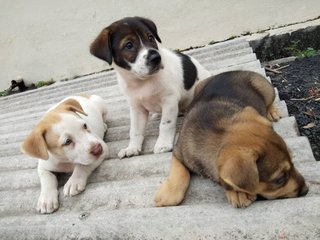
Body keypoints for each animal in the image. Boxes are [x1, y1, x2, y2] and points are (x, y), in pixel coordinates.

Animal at [89, 17, 210, 159]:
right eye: (129, 45)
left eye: (150, 37)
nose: (156, 57)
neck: (142, 82)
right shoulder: (137, 108)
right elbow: (135, 131)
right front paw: (132, 148)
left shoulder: (169, 100)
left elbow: (166, 124)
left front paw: (163, 144)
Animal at [154, 70, 308, 208]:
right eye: (279, 180)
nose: (306, 190)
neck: (216, 131)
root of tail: (229, 72)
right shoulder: (178, 152)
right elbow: (179, 173)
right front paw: (168, 195)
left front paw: (239, 193)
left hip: (266, 88)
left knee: (269, 102)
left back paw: (271, 111)